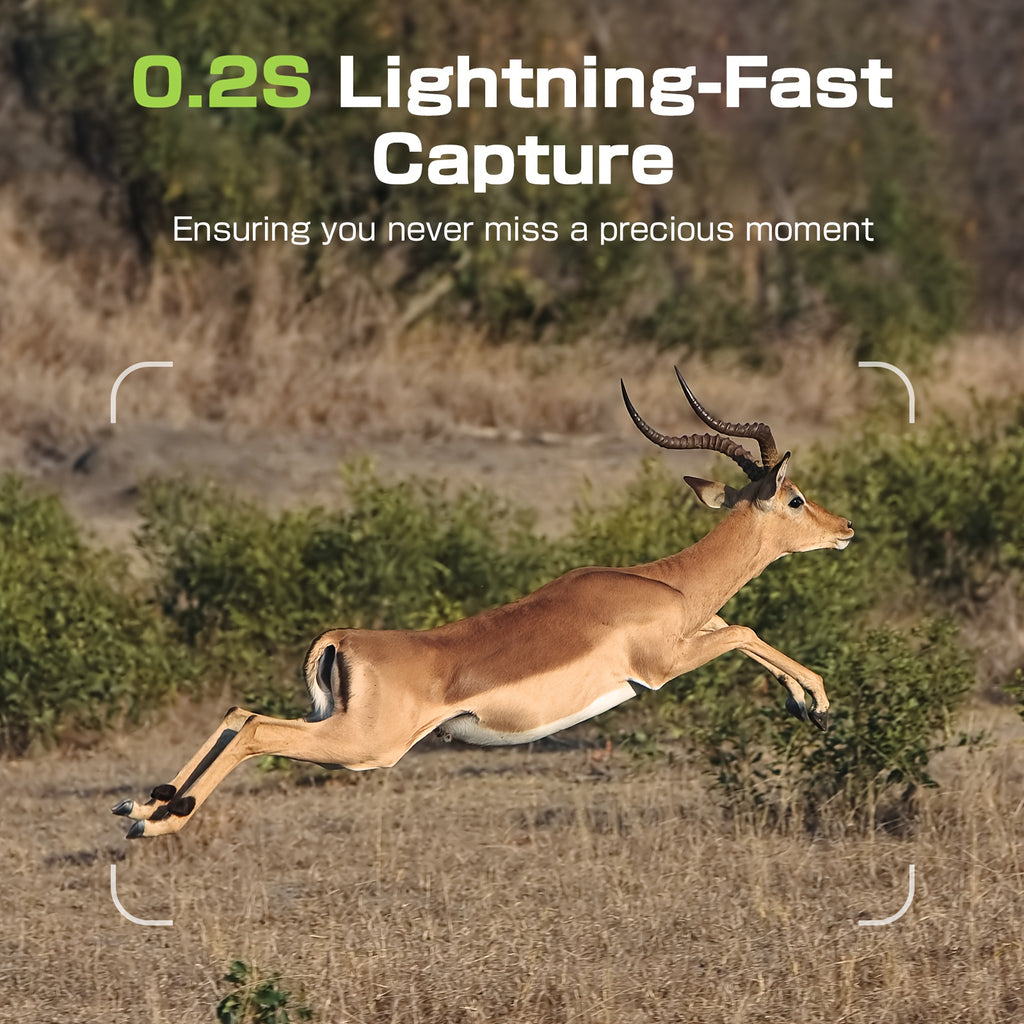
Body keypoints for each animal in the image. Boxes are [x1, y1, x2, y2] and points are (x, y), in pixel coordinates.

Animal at [113, 369, 853, 838]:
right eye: (795, 498)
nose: (845, 528)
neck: (668, 583)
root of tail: (341, 640)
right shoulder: (663, 665)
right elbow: (746, 629)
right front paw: (815, 702)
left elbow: (741, 630)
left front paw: (806, 704)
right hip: (365, 746)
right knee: (255, 729)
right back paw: (160, 823)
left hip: (331, 722)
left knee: (238, 713)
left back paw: (143, 808)